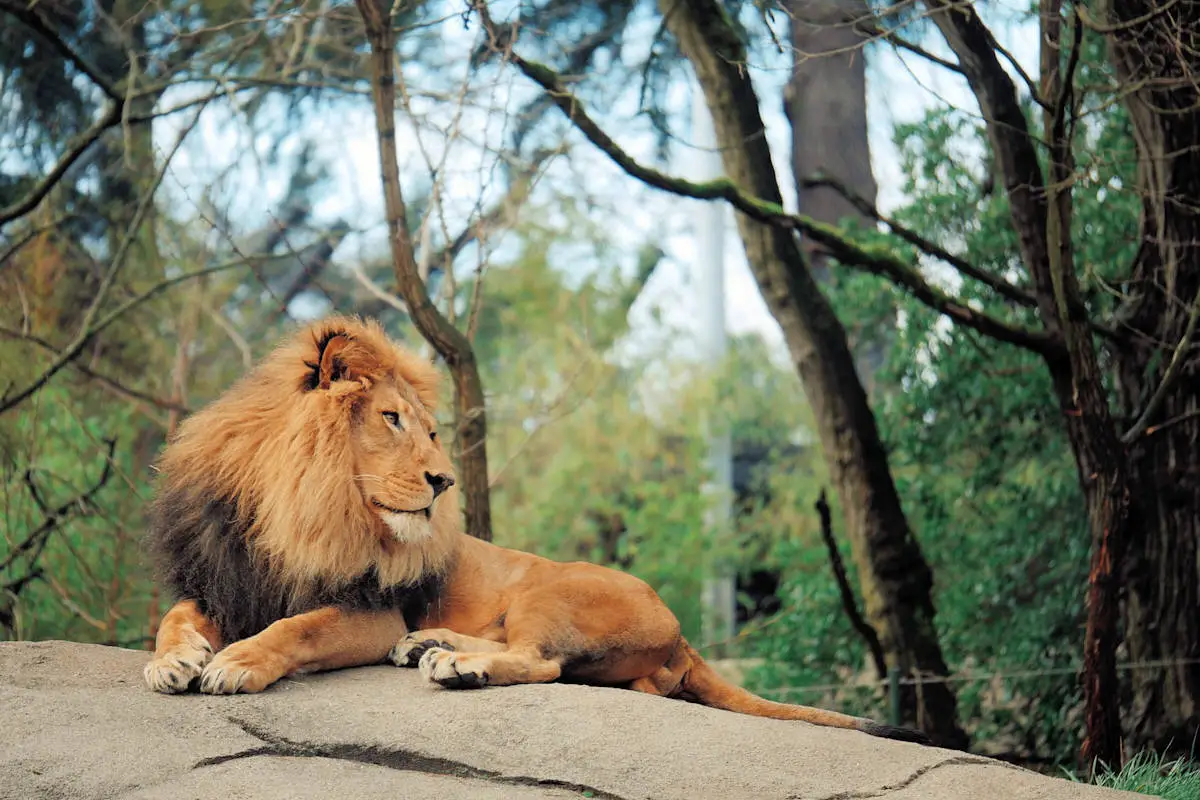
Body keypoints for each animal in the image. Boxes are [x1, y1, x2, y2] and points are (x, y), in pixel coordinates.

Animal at [140, 316, 926, 748]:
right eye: (391, 421)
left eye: (431, 432)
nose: (443, 482)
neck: (295, 510)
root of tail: (681, 631)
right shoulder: (228, 577)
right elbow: (173, 616)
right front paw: (172, 662)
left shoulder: (370, 609)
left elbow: (295, 628)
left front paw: (236, 663)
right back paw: (432, 646)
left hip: (547, 589)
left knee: (541, 661)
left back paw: (454, 664)